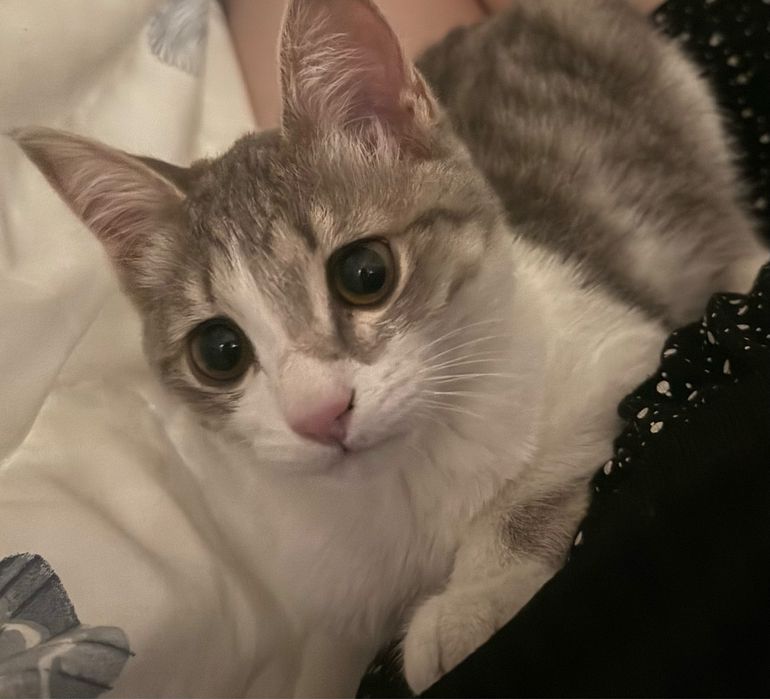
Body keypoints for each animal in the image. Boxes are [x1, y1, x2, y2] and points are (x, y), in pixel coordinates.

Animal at [12, 0, 767, 694]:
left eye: (365, 273)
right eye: (219, 351)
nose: (319, 414)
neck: (408, 474)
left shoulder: (616, 345)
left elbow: (549, 466)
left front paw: (473, 598)